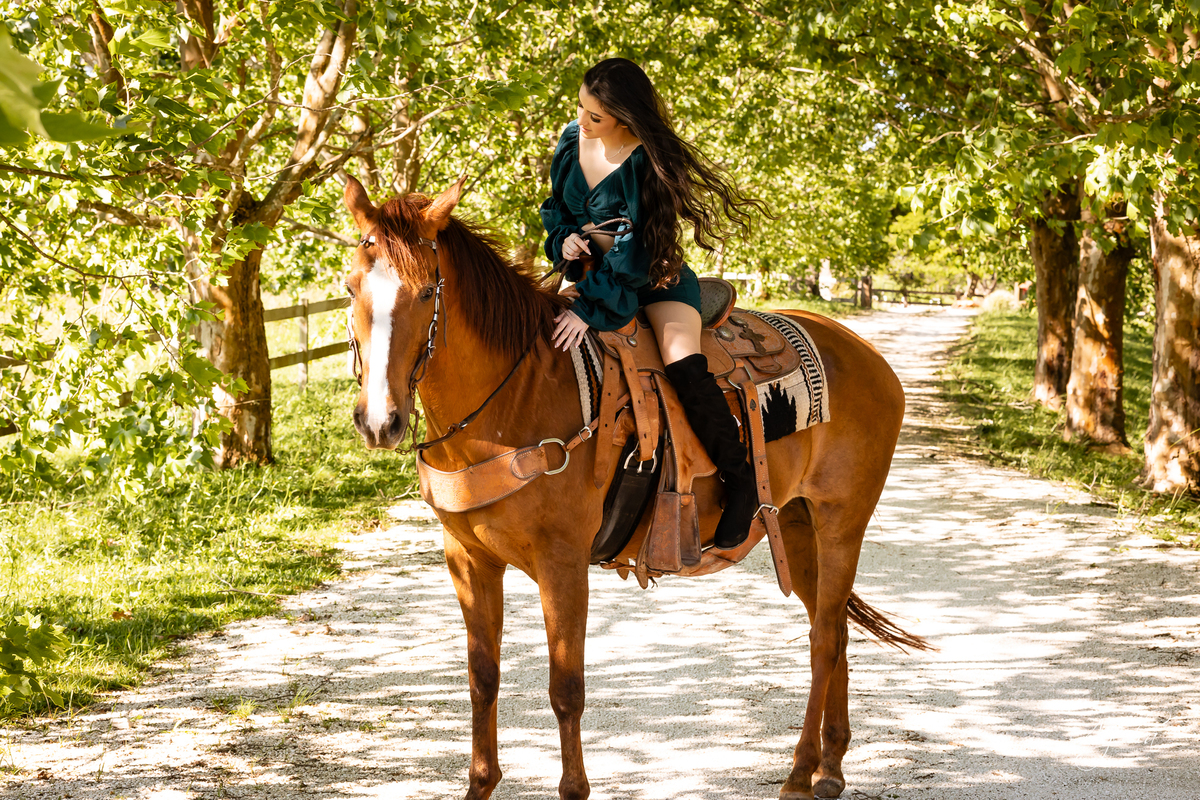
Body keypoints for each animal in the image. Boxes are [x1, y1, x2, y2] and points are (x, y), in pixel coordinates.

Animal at [341, 175, 927, 800]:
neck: (516, 397)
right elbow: (483, 678)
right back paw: (829, 766)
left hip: (841, 521)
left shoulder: (562, 564)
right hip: (796, 523)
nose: (380, 421)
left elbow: (565, 688)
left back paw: (799, 773)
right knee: (832, 628)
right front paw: (481, 783)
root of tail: (865, 354)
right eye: (351, 287)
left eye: (429, 292)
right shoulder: (467, 559)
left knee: (824, 640)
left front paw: (573, 788)